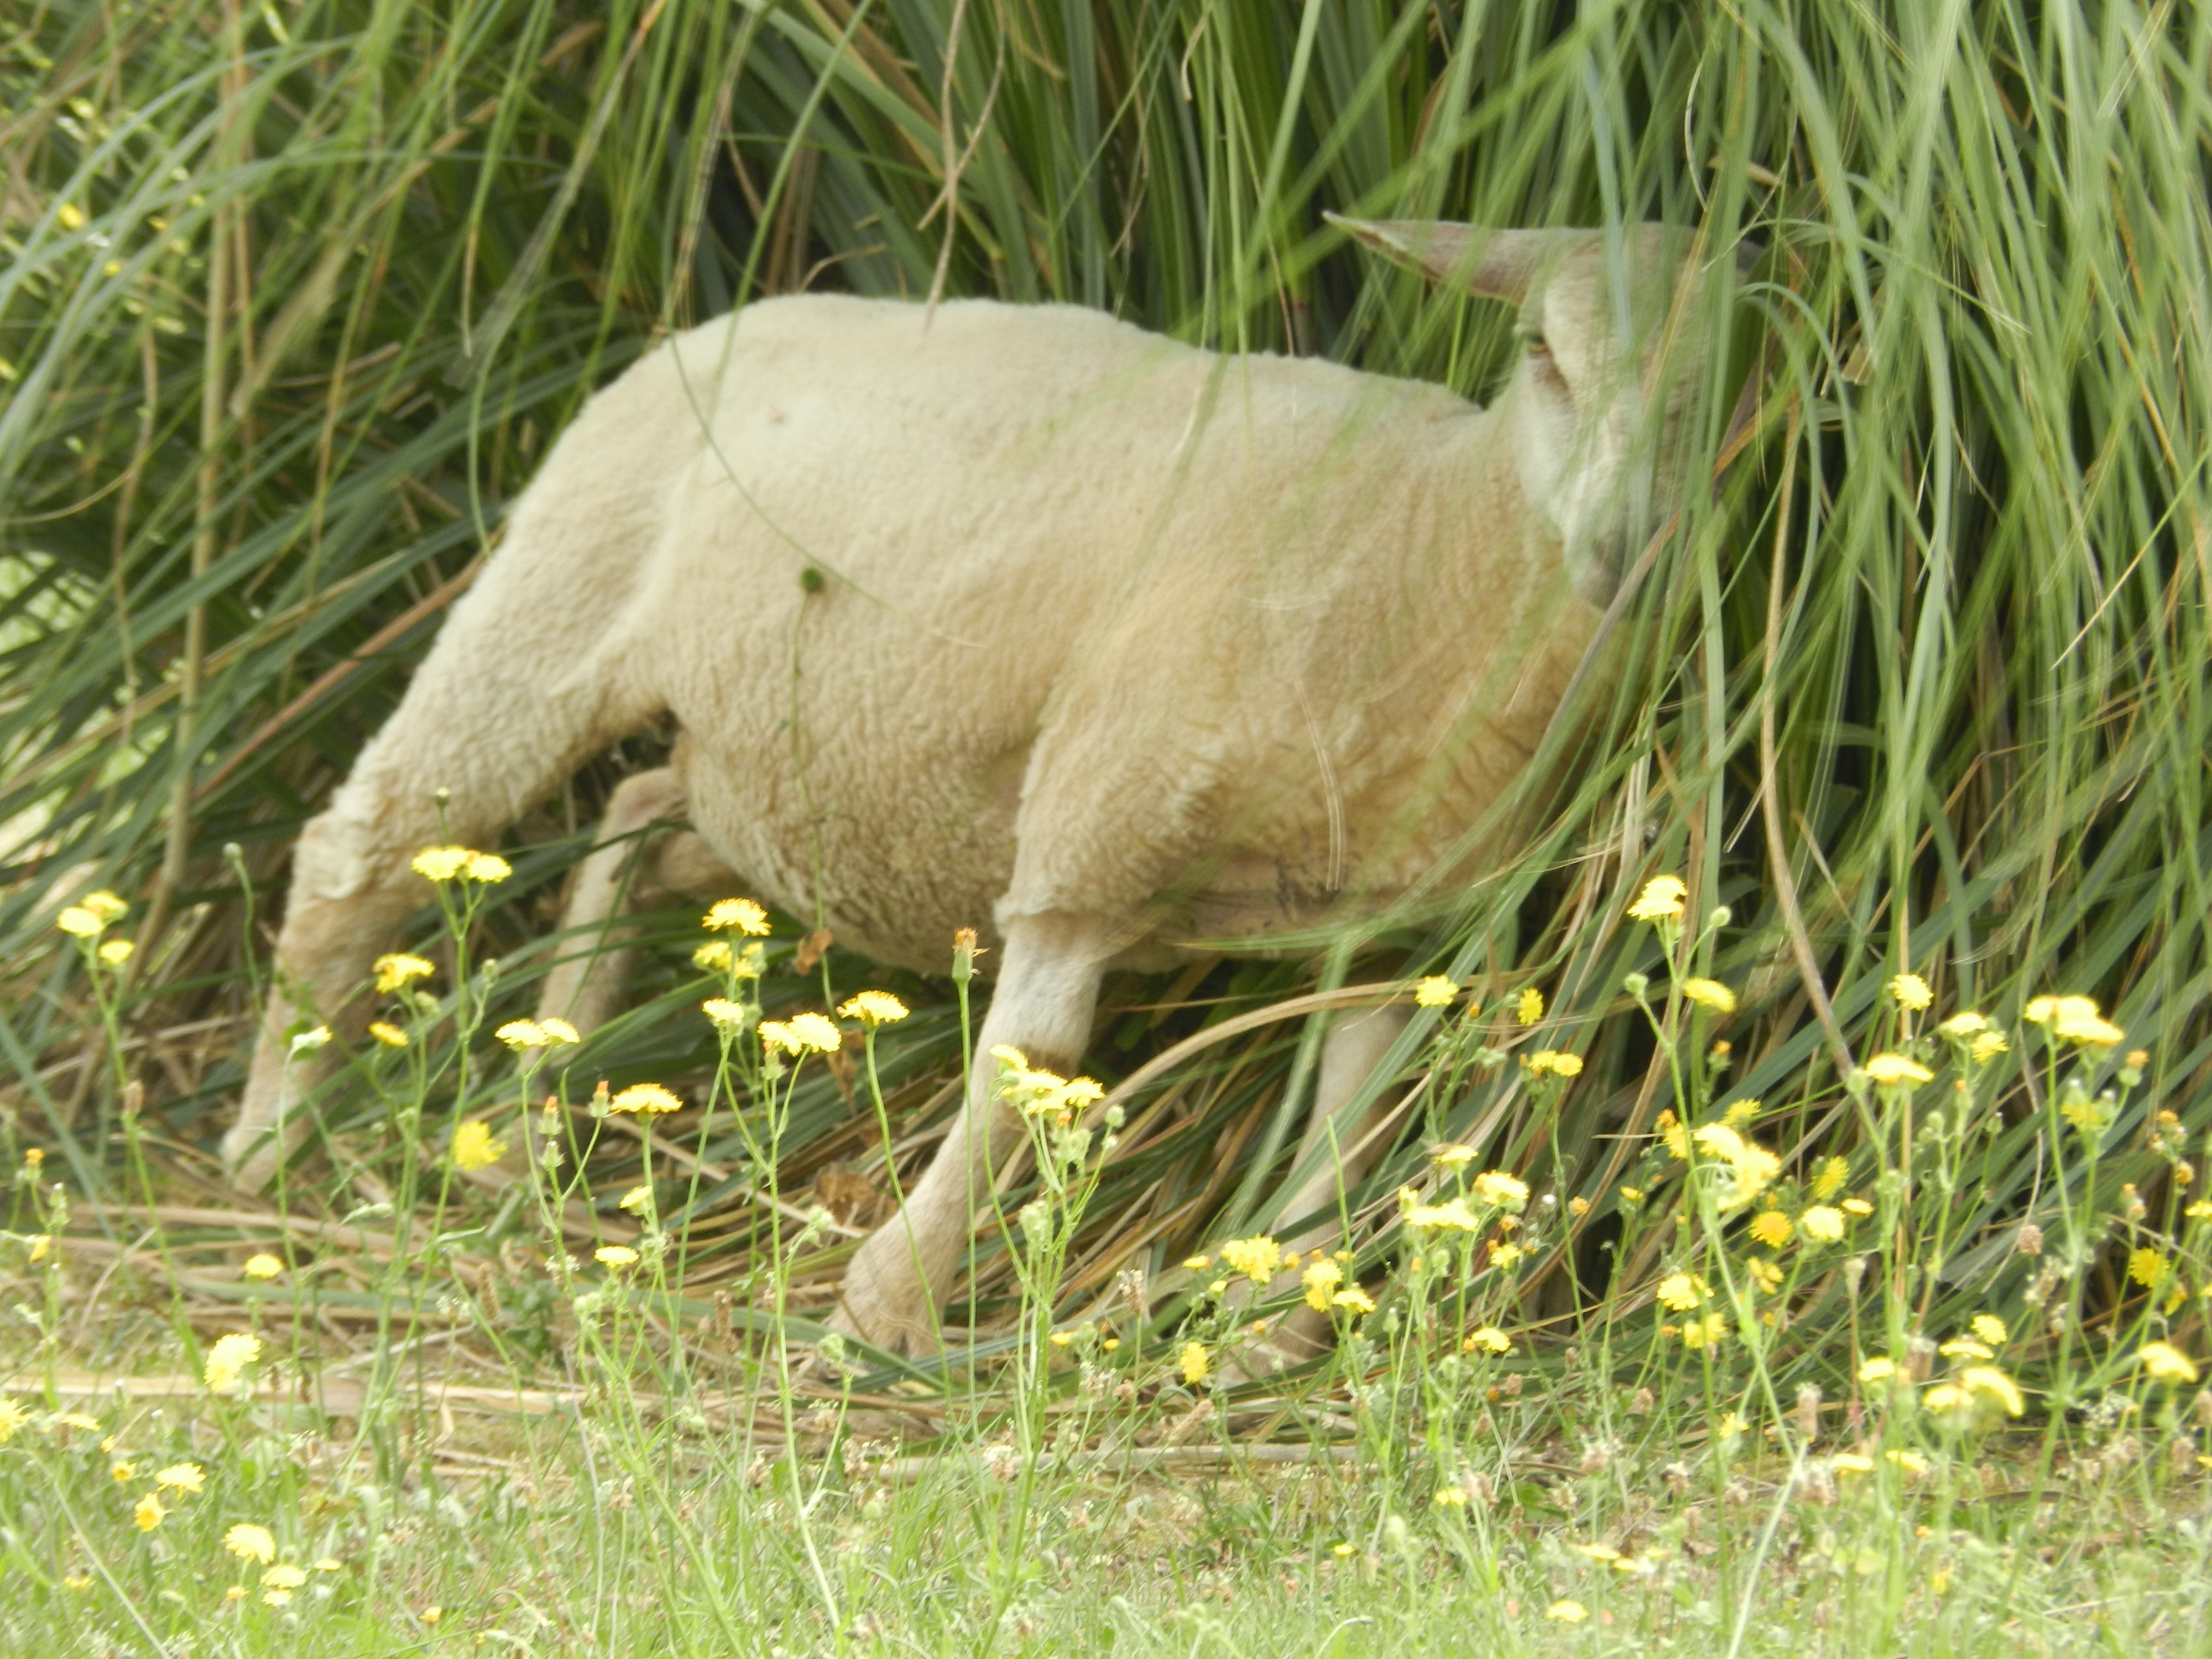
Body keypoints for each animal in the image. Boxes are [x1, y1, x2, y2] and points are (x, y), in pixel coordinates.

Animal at [222, 217, 1740, 1357]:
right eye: (1542, 353)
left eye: (1727, 382)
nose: (1622, 548)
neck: (1429, 555)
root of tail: (724, 320)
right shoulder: (1097, 821)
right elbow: (1037, 1062)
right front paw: (887, 1316)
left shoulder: (1394, 912)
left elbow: (1353, 1111)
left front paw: (1276, 1323)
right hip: (565, 587)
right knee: (364, 845)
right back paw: (268, 1143)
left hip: (794, 779)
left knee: (635, 815)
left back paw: (529, 1122)